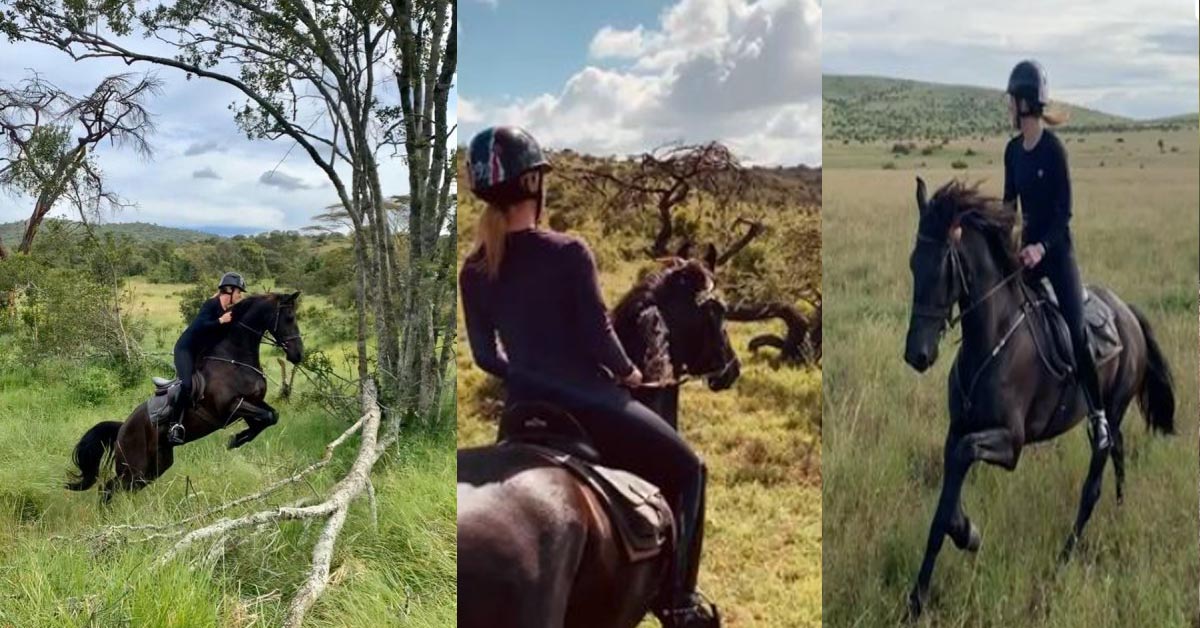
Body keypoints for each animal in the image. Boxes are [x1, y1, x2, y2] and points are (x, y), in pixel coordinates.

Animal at [64, 292, 304, 504]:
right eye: (289, 318)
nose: (298, 355)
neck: (234, 359)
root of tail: (122, 427)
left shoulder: (251, 404)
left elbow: (270, 417)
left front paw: (239, 439)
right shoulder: (231, 407)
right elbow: (267, 417)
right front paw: (236, 439)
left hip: (154, 467)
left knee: (118, 489)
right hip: (135, 465)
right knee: (109, 489)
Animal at [902, 177, 1171, 619]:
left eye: (943, 265)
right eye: (912, 263)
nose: (916, 354)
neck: (991, 340)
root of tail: (1128, 314)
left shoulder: (1011, 444)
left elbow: (959, 466)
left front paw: (957, 545)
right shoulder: (958, 429)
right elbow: (947, 491)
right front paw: (959, 539)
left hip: (1111, 412)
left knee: (1094, 481)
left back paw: (1064, 558)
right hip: (1110, 415)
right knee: (1119, 453)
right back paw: (1119, 511)